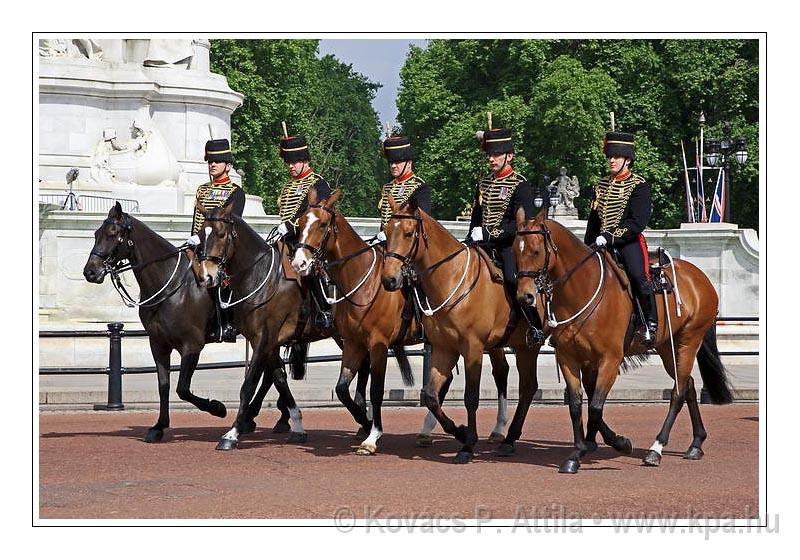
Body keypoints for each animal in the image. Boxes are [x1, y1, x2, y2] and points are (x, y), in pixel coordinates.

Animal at [83, 201, 290, 442]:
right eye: (96, 233)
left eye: (112, 234)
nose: (90, 271)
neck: (170, 286)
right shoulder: (158, 344)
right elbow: (164, 385)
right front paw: (159, 426)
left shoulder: (191, 345)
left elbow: (182, 388)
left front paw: (217, 408)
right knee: (273, 372)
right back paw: (267, 417)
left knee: (271, 373)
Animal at [292, 188, 512, 456]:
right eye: (301, 223)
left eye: (322, 224)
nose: (299, 263)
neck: (363, 282)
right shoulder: (354, 342)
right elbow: (343, 389)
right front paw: (365, 423)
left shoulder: (378, 344)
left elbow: (376, 389)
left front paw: (372, 434)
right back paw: (430, 431)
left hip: (489, 341)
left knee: (500, 372)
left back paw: (498, 429)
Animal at [382, 195, 544, 462]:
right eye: (386, 231)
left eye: (408, 233)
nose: (389, 279)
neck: (451, 278)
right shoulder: (443, 348)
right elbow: (429, 395)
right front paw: (459, 431)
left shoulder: (472, 348)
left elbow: (470, 397)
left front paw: (468, 445)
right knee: (507, 375)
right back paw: (503, 434)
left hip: (528, 346)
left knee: (528, 387)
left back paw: (510, 438)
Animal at [512, 206, 732, 472]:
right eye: (514, 250)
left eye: (536, 251)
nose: (524, 297)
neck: (581, 290)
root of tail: (700, 276)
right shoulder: (569, 358)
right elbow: (576, 405)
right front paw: (578, 452)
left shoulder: (610, 359)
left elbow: (596, 406)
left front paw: (615, 444)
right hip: (668, 347)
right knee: (687, 385)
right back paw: (696, 443)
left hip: (689, 341)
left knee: (678, 392)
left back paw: (656, 449)